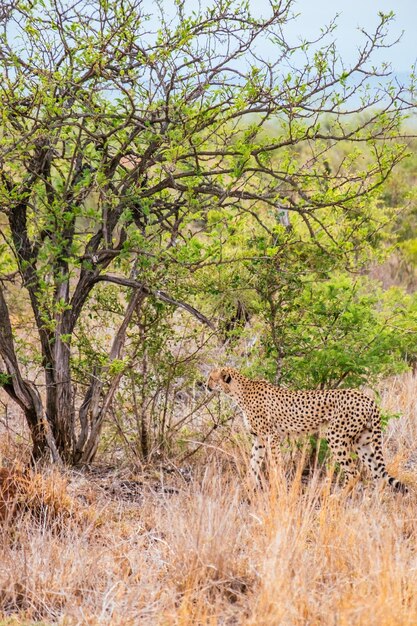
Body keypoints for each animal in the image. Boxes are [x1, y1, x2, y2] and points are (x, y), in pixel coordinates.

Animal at [206, 366, 408, 492]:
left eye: (211, 377)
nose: (204, 385)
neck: (239, 392)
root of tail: (366, 397)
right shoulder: (259, 439)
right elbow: (254, 464)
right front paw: (248, 487)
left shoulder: (271, 436)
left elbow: (275, 464)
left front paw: (279, 487)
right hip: (362, 441)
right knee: (377, 474)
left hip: (336, 436)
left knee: (354, 473)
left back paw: (335, 498)